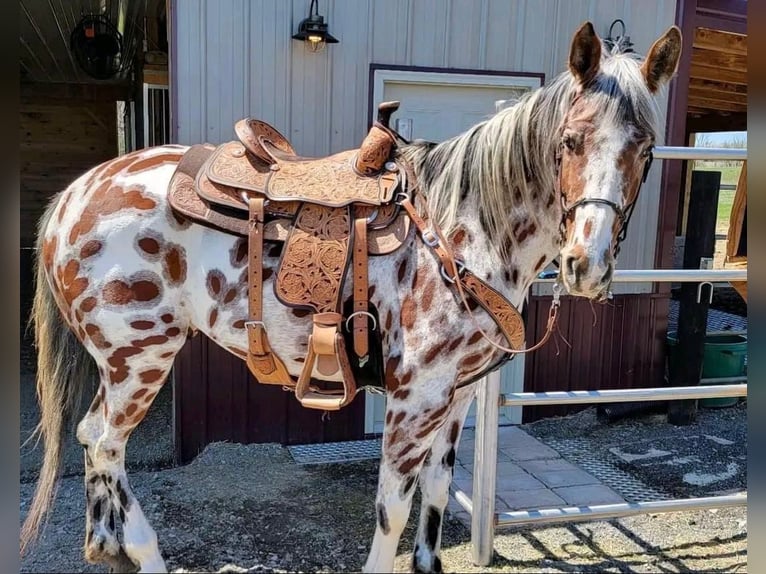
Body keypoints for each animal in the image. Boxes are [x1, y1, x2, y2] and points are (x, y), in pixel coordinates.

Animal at [21, 21, 681, 573]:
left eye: (648, 149)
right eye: (569, 141)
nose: (586, 266)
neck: (460, 231)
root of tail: (73, 197)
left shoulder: (457, 398)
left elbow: (436, 494)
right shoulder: (414, 400)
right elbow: (393, 509)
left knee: (94, 443)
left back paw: (106, 545)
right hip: (140, 358)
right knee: (104, 441)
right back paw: (139, 549)